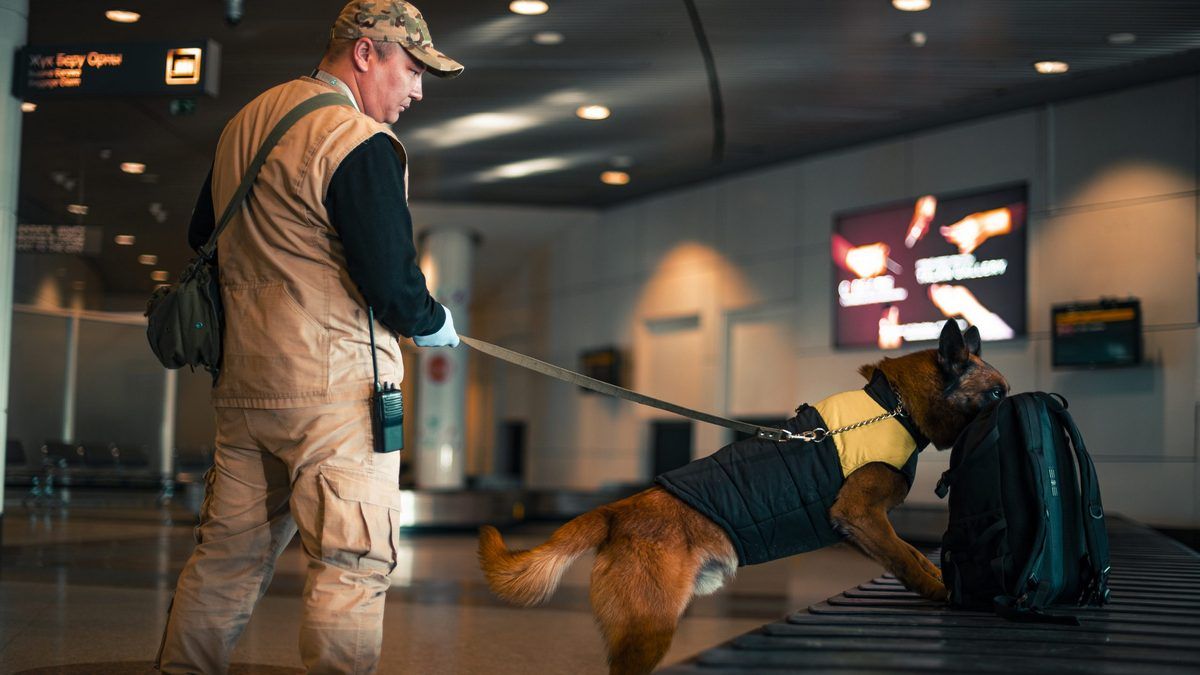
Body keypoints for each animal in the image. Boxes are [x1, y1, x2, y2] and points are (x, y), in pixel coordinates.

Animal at [475, 319, 1003, 667]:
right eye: (997, 394)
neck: (892, 404)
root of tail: (616, 511)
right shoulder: (862, 515)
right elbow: (908, 557)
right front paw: (940, 589)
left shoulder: (861, 527)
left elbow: (907, 555)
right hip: (647, 632)